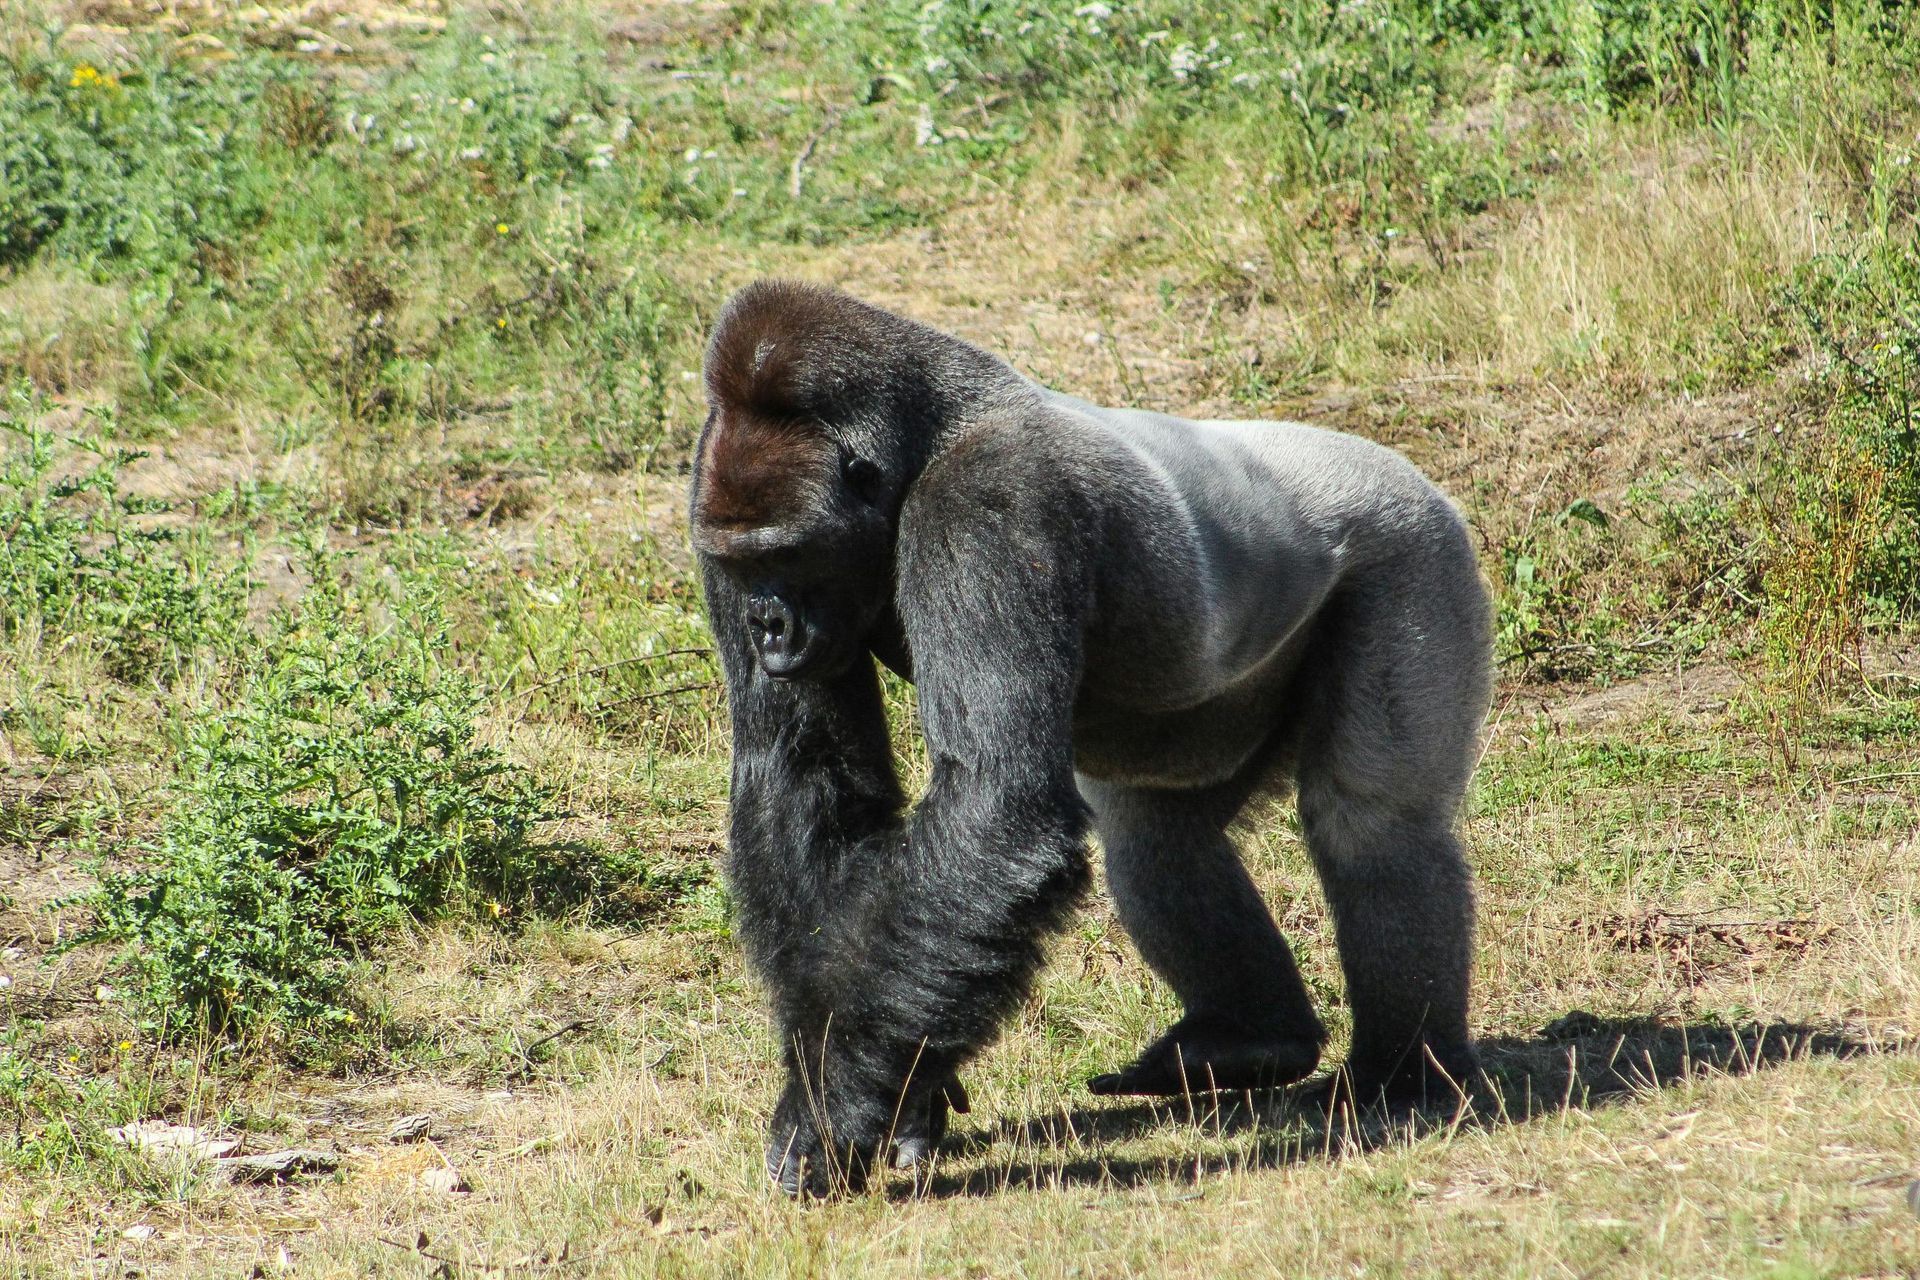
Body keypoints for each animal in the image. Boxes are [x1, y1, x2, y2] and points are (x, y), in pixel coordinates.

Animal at [687, 280, 1492, 1197]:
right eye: (743, 565)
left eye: (788, 556)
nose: (767, 627)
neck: (922, 441)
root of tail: (1402, 466)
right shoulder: (709, 490)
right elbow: (804, 781)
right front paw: (881, 1084)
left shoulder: (990, 504)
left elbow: (996, 805)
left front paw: (831, 1109)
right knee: (1155, 837)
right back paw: (1249, 1037)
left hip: (1414, 546)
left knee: (1374, 824)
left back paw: (1406, 1079)